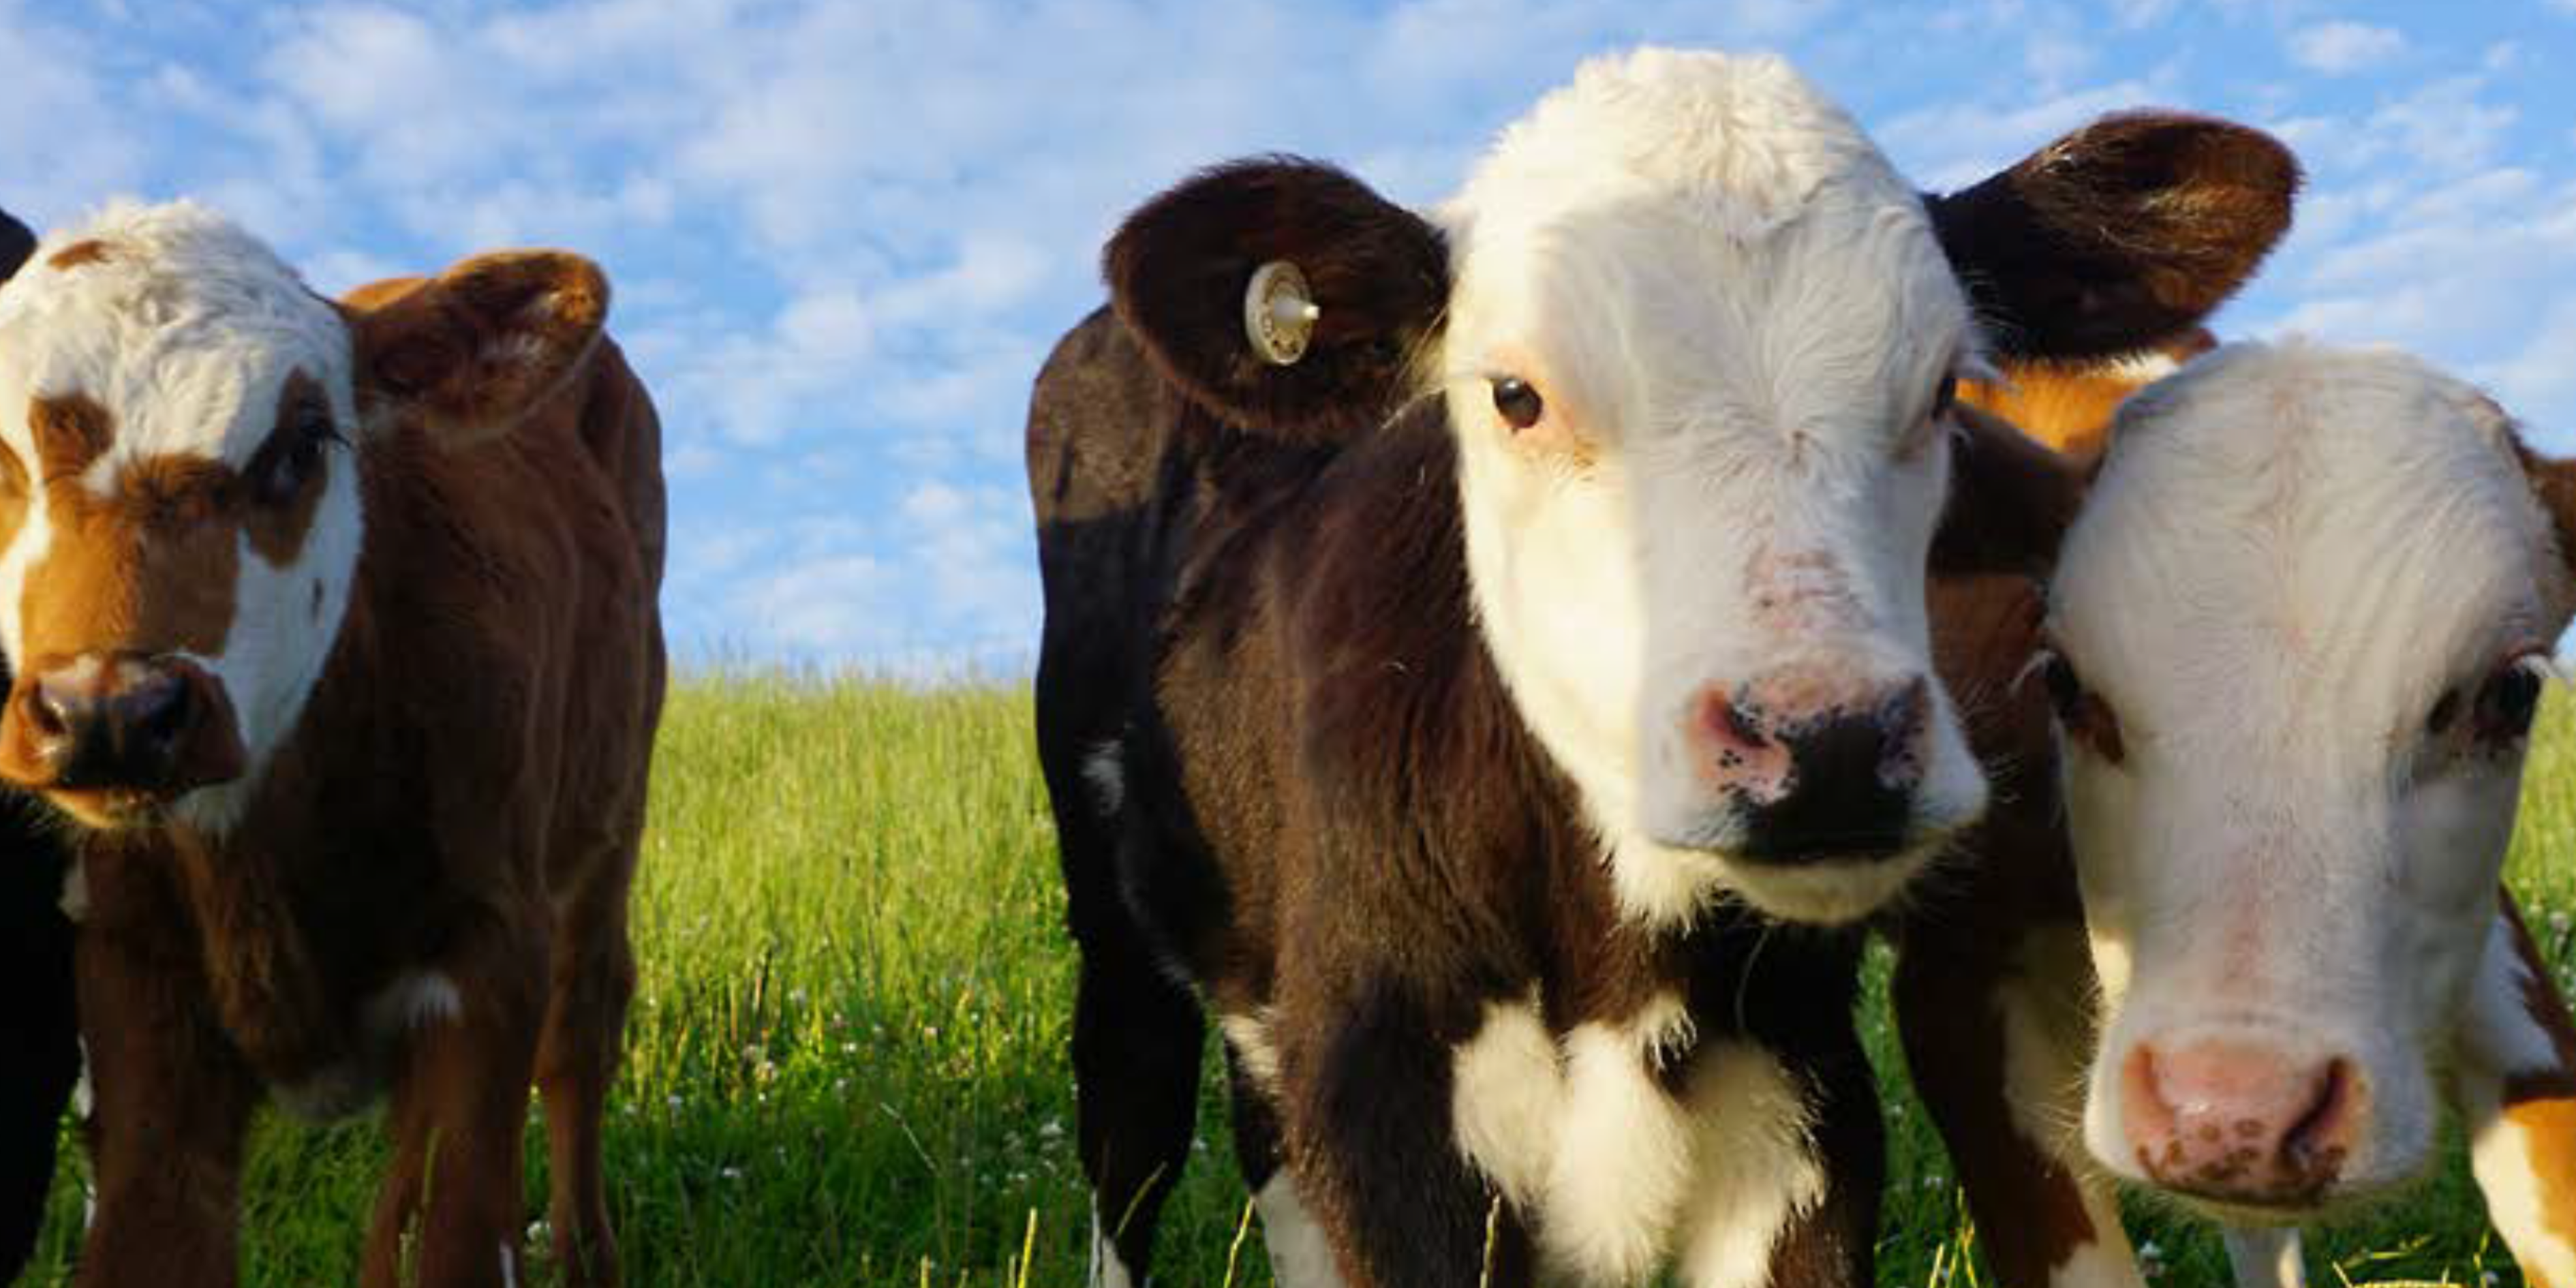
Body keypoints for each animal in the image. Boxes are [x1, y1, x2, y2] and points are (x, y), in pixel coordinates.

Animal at [0, 201, 666, 1288]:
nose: (112, 711)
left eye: (302, 444)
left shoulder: (494, 944)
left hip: (614, 812)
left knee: (582, 1030)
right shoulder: (131, 973)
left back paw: (588, 1254)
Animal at [1027, 47, 2298, 1288]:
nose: (1830, 745)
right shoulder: (1388, 1109)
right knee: (1127, 1136)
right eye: (1515, 394)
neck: (1620, 956)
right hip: (1118, 937)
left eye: (1944, 387)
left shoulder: (1810, 1114)